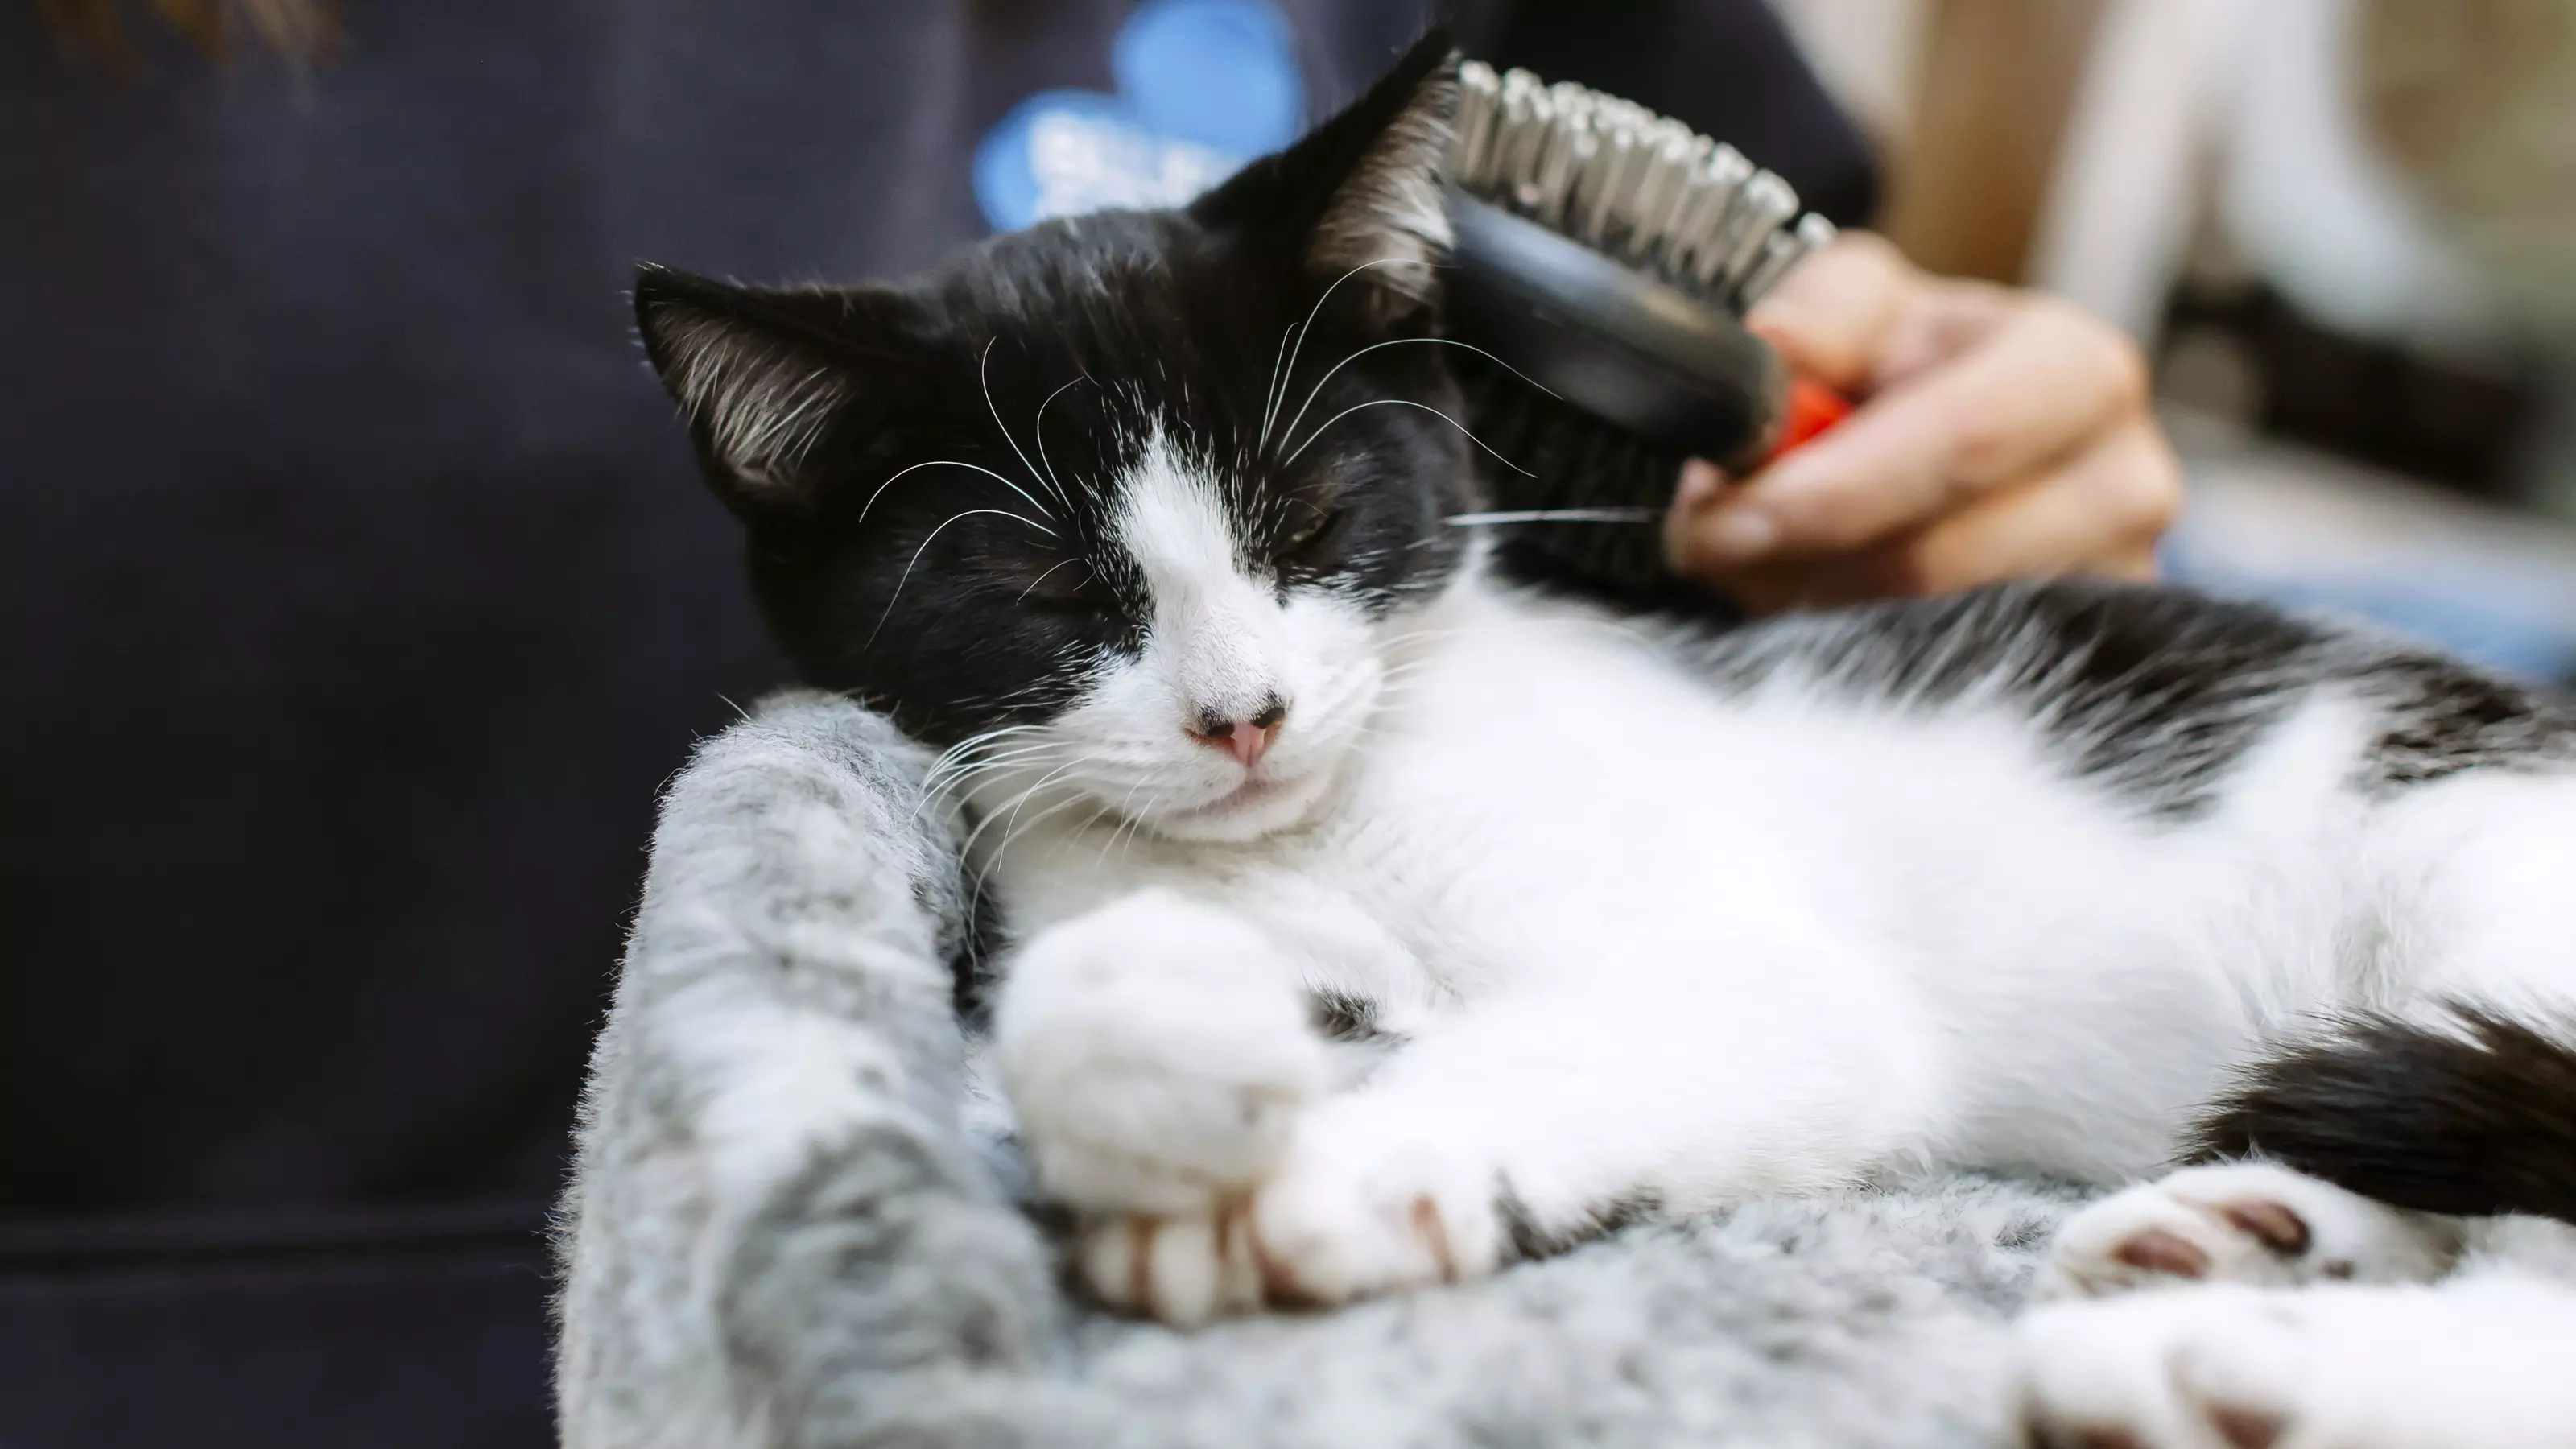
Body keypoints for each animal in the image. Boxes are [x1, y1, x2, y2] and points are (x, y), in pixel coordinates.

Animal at [638, 34, 2576, 1443]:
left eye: (1308, 520)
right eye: (1055, 592)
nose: (1246, 715)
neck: (1322, 825)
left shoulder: (1765, 981)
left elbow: (1625, 1028)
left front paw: (1345, 1171)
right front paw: (1163, 1071)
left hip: (2484, 876)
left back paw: (2225, 1372)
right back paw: (2249, 1240)